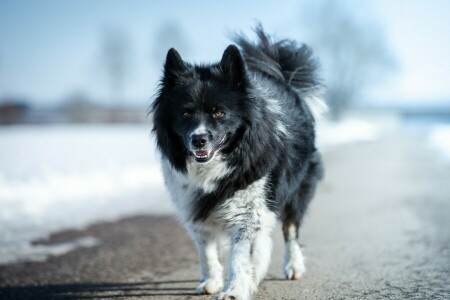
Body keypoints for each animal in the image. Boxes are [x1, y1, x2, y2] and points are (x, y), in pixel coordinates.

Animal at [153, 26, 326, 300]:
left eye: (219, 113)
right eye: (186, 113)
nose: (198, 140)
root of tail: (281, 73)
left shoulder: (249, 214)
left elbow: (240, 257)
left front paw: (234, 290)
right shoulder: (194, 209)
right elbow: (206, 251)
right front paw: (211, 281)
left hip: (298, 190)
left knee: (291, 229)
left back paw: (294, 266)